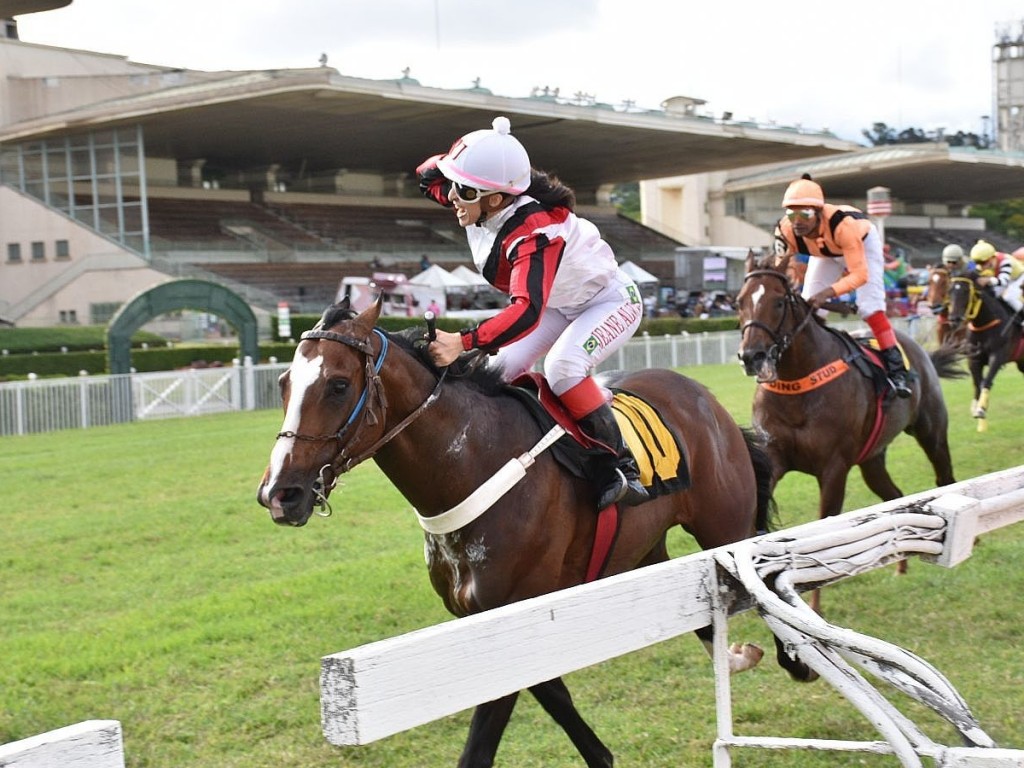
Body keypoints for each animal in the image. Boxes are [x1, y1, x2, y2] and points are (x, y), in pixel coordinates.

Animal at [258, 296, 815, 765]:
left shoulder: (513, 608)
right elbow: (553, 692)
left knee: (756, 576)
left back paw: (794, 659)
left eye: (337, 385)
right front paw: (602, 755)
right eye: (284, 383)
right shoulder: (488, 618)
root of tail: (704, 397)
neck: (472, 460)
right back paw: (736, 655)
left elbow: (483, 743)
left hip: (725, 525)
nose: (279, 494)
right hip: (645, 547)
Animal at [737, 252, 958, 593]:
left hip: (931, 432)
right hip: (872, 459)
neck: (798, 385)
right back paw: (900, 566)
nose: (752, 356)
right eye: (739, 301)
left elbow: (821, 533)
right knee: (894, 498)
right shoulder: (774, 457)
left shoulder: (834, 468)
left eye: (778, 302)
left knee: (946, 476)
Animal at [942, 272, 1024, 430]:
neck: (984, 324)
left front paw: (981, 409)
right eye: (949, 291)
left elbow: (986, 381)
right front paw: (977, 410)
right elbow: (976, 382)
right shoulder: (974, 359)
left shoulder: (997, 355)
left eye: (966, 291)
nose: (954, 319)